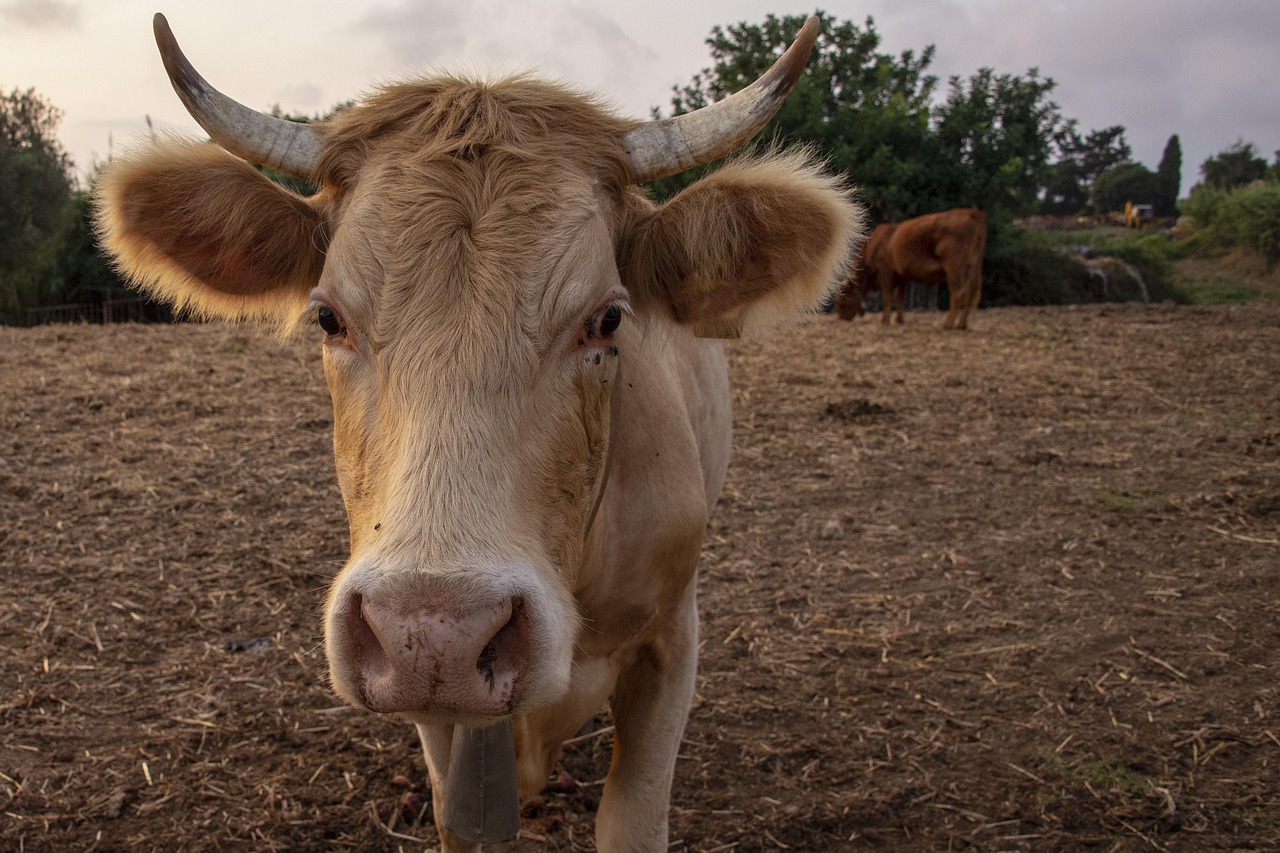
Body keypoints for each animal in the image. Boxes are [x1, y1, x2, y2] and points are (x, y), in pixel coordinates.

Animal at [834, 207, 987, 329]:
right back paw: (961, 325)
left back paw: (947, 324)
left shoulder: (885, 272)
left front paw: (884, 321)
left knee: (958, 294)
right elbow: (900, 298)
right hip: (972, 268)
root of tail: (969, 212)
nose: (841, 318)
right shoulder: (902, 277)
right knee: (970, 294)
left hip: (954, 269)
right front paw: (899, 320)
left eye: (841, 299)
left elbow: (888, 296)